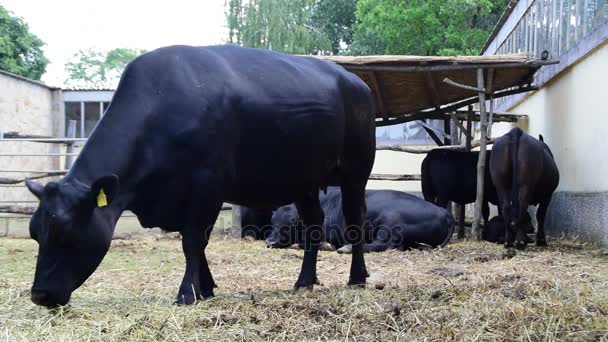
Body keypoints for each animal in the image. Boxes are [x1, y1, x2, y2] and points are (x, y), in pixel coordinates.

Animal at [23, 44, 376, 308]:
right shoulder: (181, 197)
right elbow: (193, 242)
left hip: (355, 171)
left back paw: (357, 278)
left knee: (355, 219)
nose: (39, 295)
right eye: (35, 233)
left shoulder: (207, 184)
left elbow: (193, 240)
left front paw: (187, 294)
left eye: (66, 232)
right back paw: (305, 281)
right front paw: (205, 288)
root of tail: (354, 81)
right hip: (304, 179)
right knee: (313, 222)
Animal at [264, 187, 454, 251]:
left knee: (383, 245)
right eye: (272, 221)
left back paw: (347, 248)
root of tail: (445, 212)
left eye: (289, 224)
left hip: (390, 224)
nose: (269, 241)